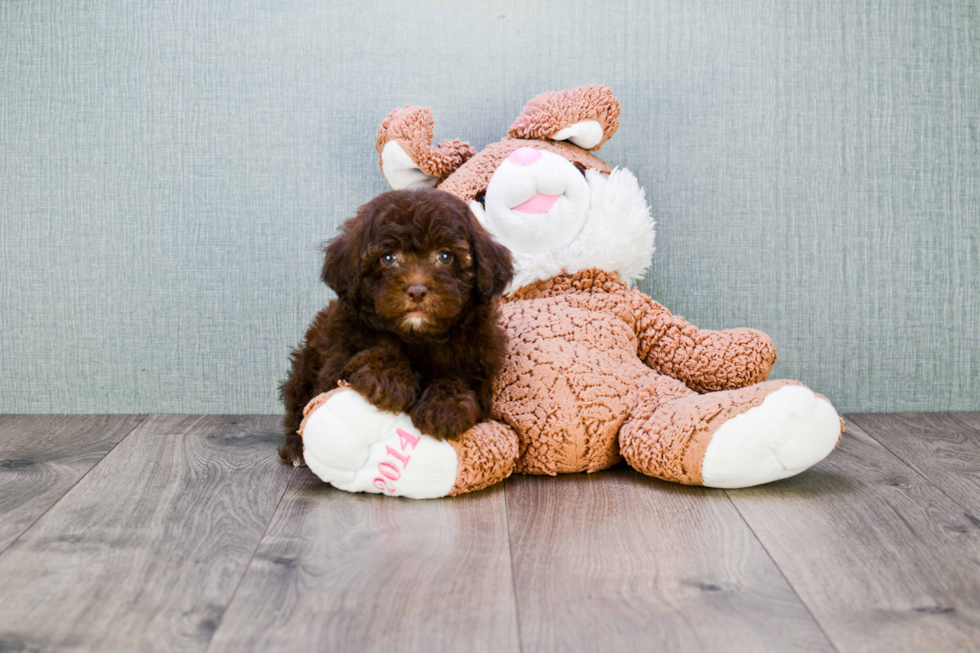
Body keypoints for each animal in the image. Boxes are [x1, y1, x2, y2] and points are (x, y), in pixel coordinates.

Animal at [278, 186, 512, 466]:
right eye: (388, 258)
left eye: (445, 256)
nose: (417, 291)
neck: (418, 337)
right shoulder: (337, 359)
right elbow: (374, 351)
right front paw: (388, 379)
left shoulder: (480, 366)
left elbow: (459, 381)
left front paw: (445, 407)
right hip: (305, 365)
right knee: (298, 408)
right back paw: (295, 448)